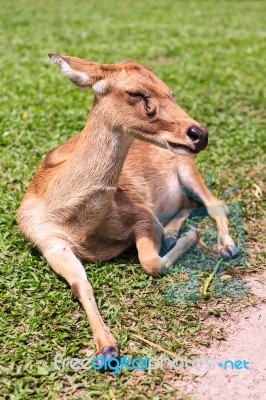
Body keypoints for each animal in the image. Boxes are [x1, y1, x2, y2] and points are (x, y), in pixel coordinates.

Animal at [18, 54, 239, 360]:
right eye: (136, 93)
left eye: (170, 91)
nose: (200, 134)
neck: (80, 225)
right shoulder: (46, 240)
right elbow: (80, 283)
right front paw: (106, 349)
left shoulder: (142, 214)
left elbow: (150, 263)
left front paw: (192, 236)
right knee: (191, 203)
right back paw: (174, 234)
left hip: (187, 167)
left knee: (214, 202)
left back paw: (226, 247)